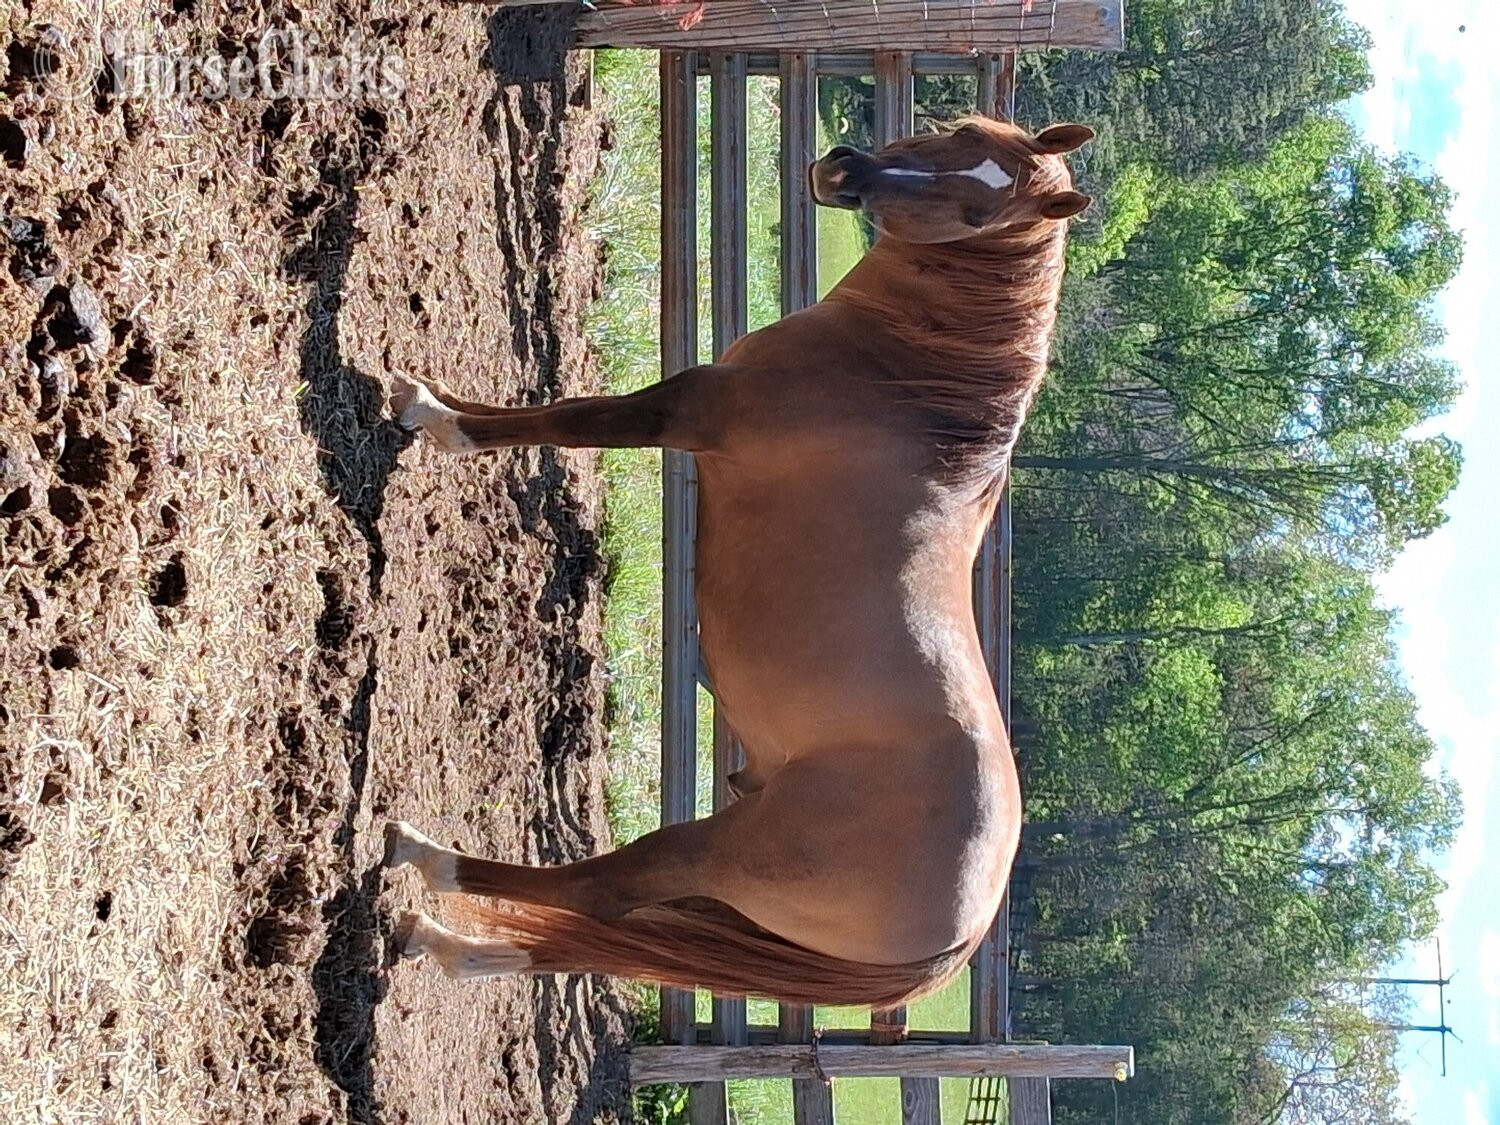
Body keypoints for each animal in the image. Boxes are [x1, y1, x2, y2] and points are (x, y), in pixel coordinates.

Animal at [382, 116, 1093, 1007]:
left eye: (976, 213)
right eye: (964, 130)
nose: (846, 172)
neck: (900, 386)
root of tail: (958, 938)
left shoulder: (686, 410)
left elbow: (565, 417)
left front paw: (433, 415)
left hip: (718, 855)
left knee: (596, 892)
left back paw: (422, 857)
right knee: (592, 931)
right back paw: (441, 944)